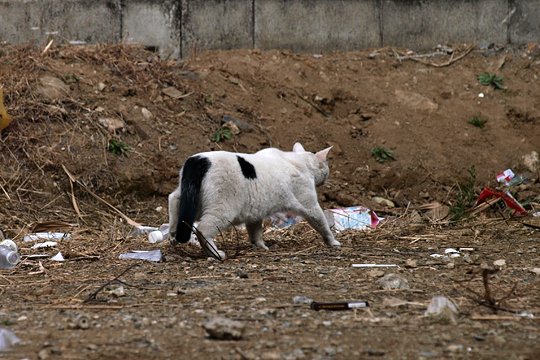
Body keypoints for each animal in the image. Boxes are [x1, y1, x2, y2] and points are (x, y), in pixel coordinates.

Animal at [167, 141, 340, 258]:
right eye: (327, 169)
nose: (326, 178)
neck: (299, 161)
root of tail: (199, 160)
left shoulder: (255, 213)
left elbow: (255, 231)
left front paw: (260, 246)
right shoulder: (309, 203)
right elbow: (322, 223)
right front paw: (332, 242)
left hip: (189, 200)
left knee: (173, 201)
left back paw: (172, 234)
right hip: (222, 209)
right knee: (203, 230)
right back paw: (216, 254)